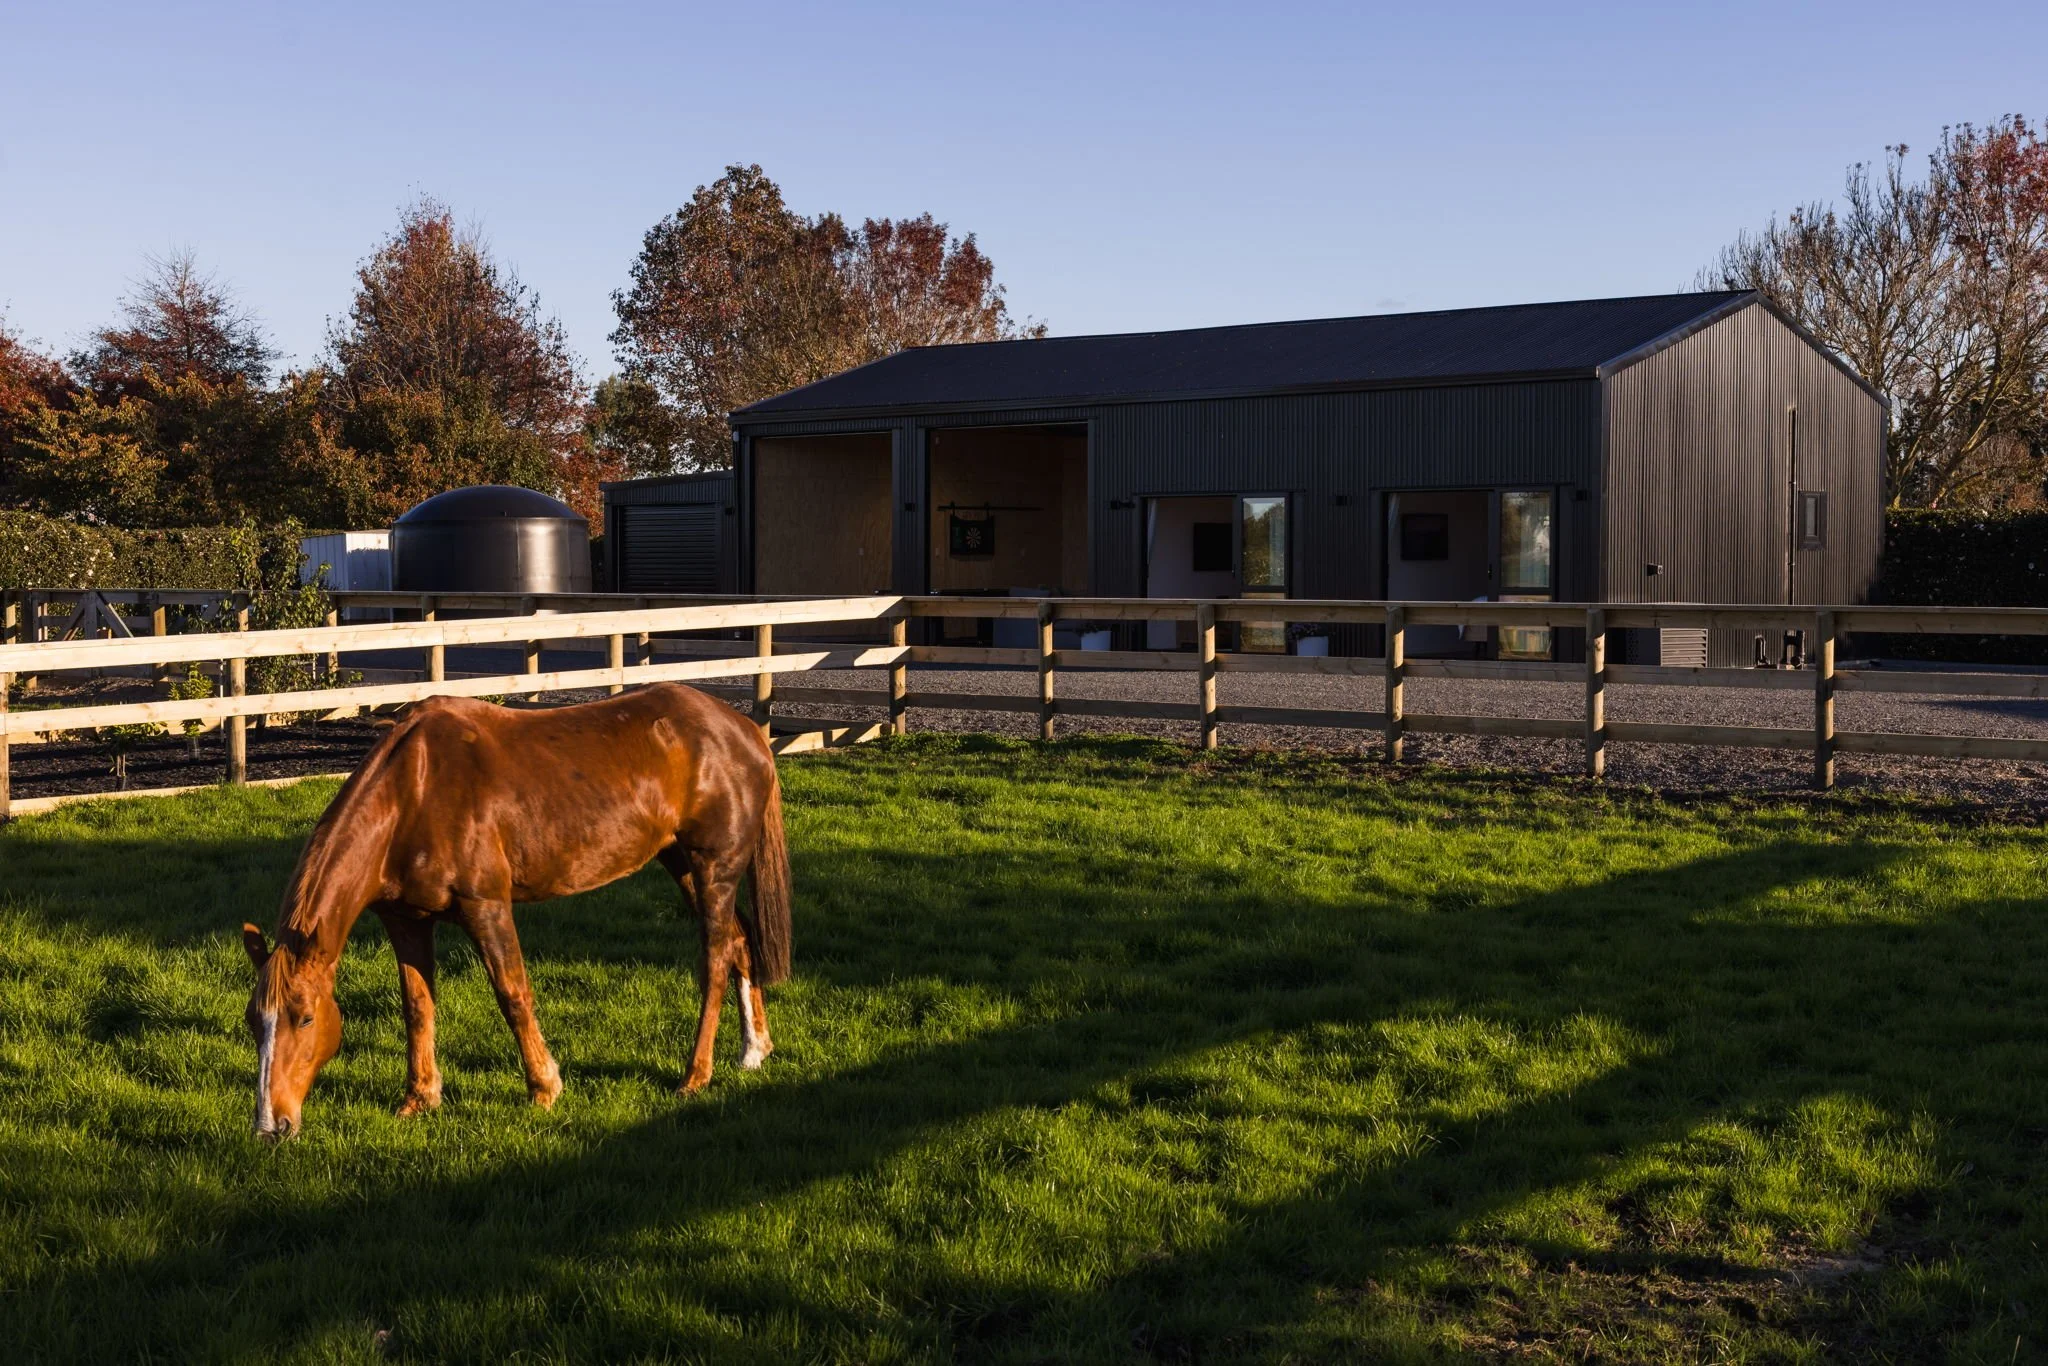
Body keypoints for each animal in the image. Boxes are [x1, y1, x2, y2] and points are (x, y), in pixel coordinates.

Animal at [239, 683, 791, 1139]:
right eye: (252, 1022)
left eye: (305, 1018)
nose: (271, 1124)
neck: (411, 793)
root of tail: (743, 730)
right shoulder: (406, 920)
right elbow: (417, 1006)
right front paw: (420, 1098)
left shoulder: (486, 908)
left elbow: (513, 994)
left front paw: (544, 1088)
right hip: (681, 863)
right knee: (740, 942)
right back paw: (753, 1051)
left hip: (713, 867)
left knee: (715, 960)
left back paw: (695, 1075)